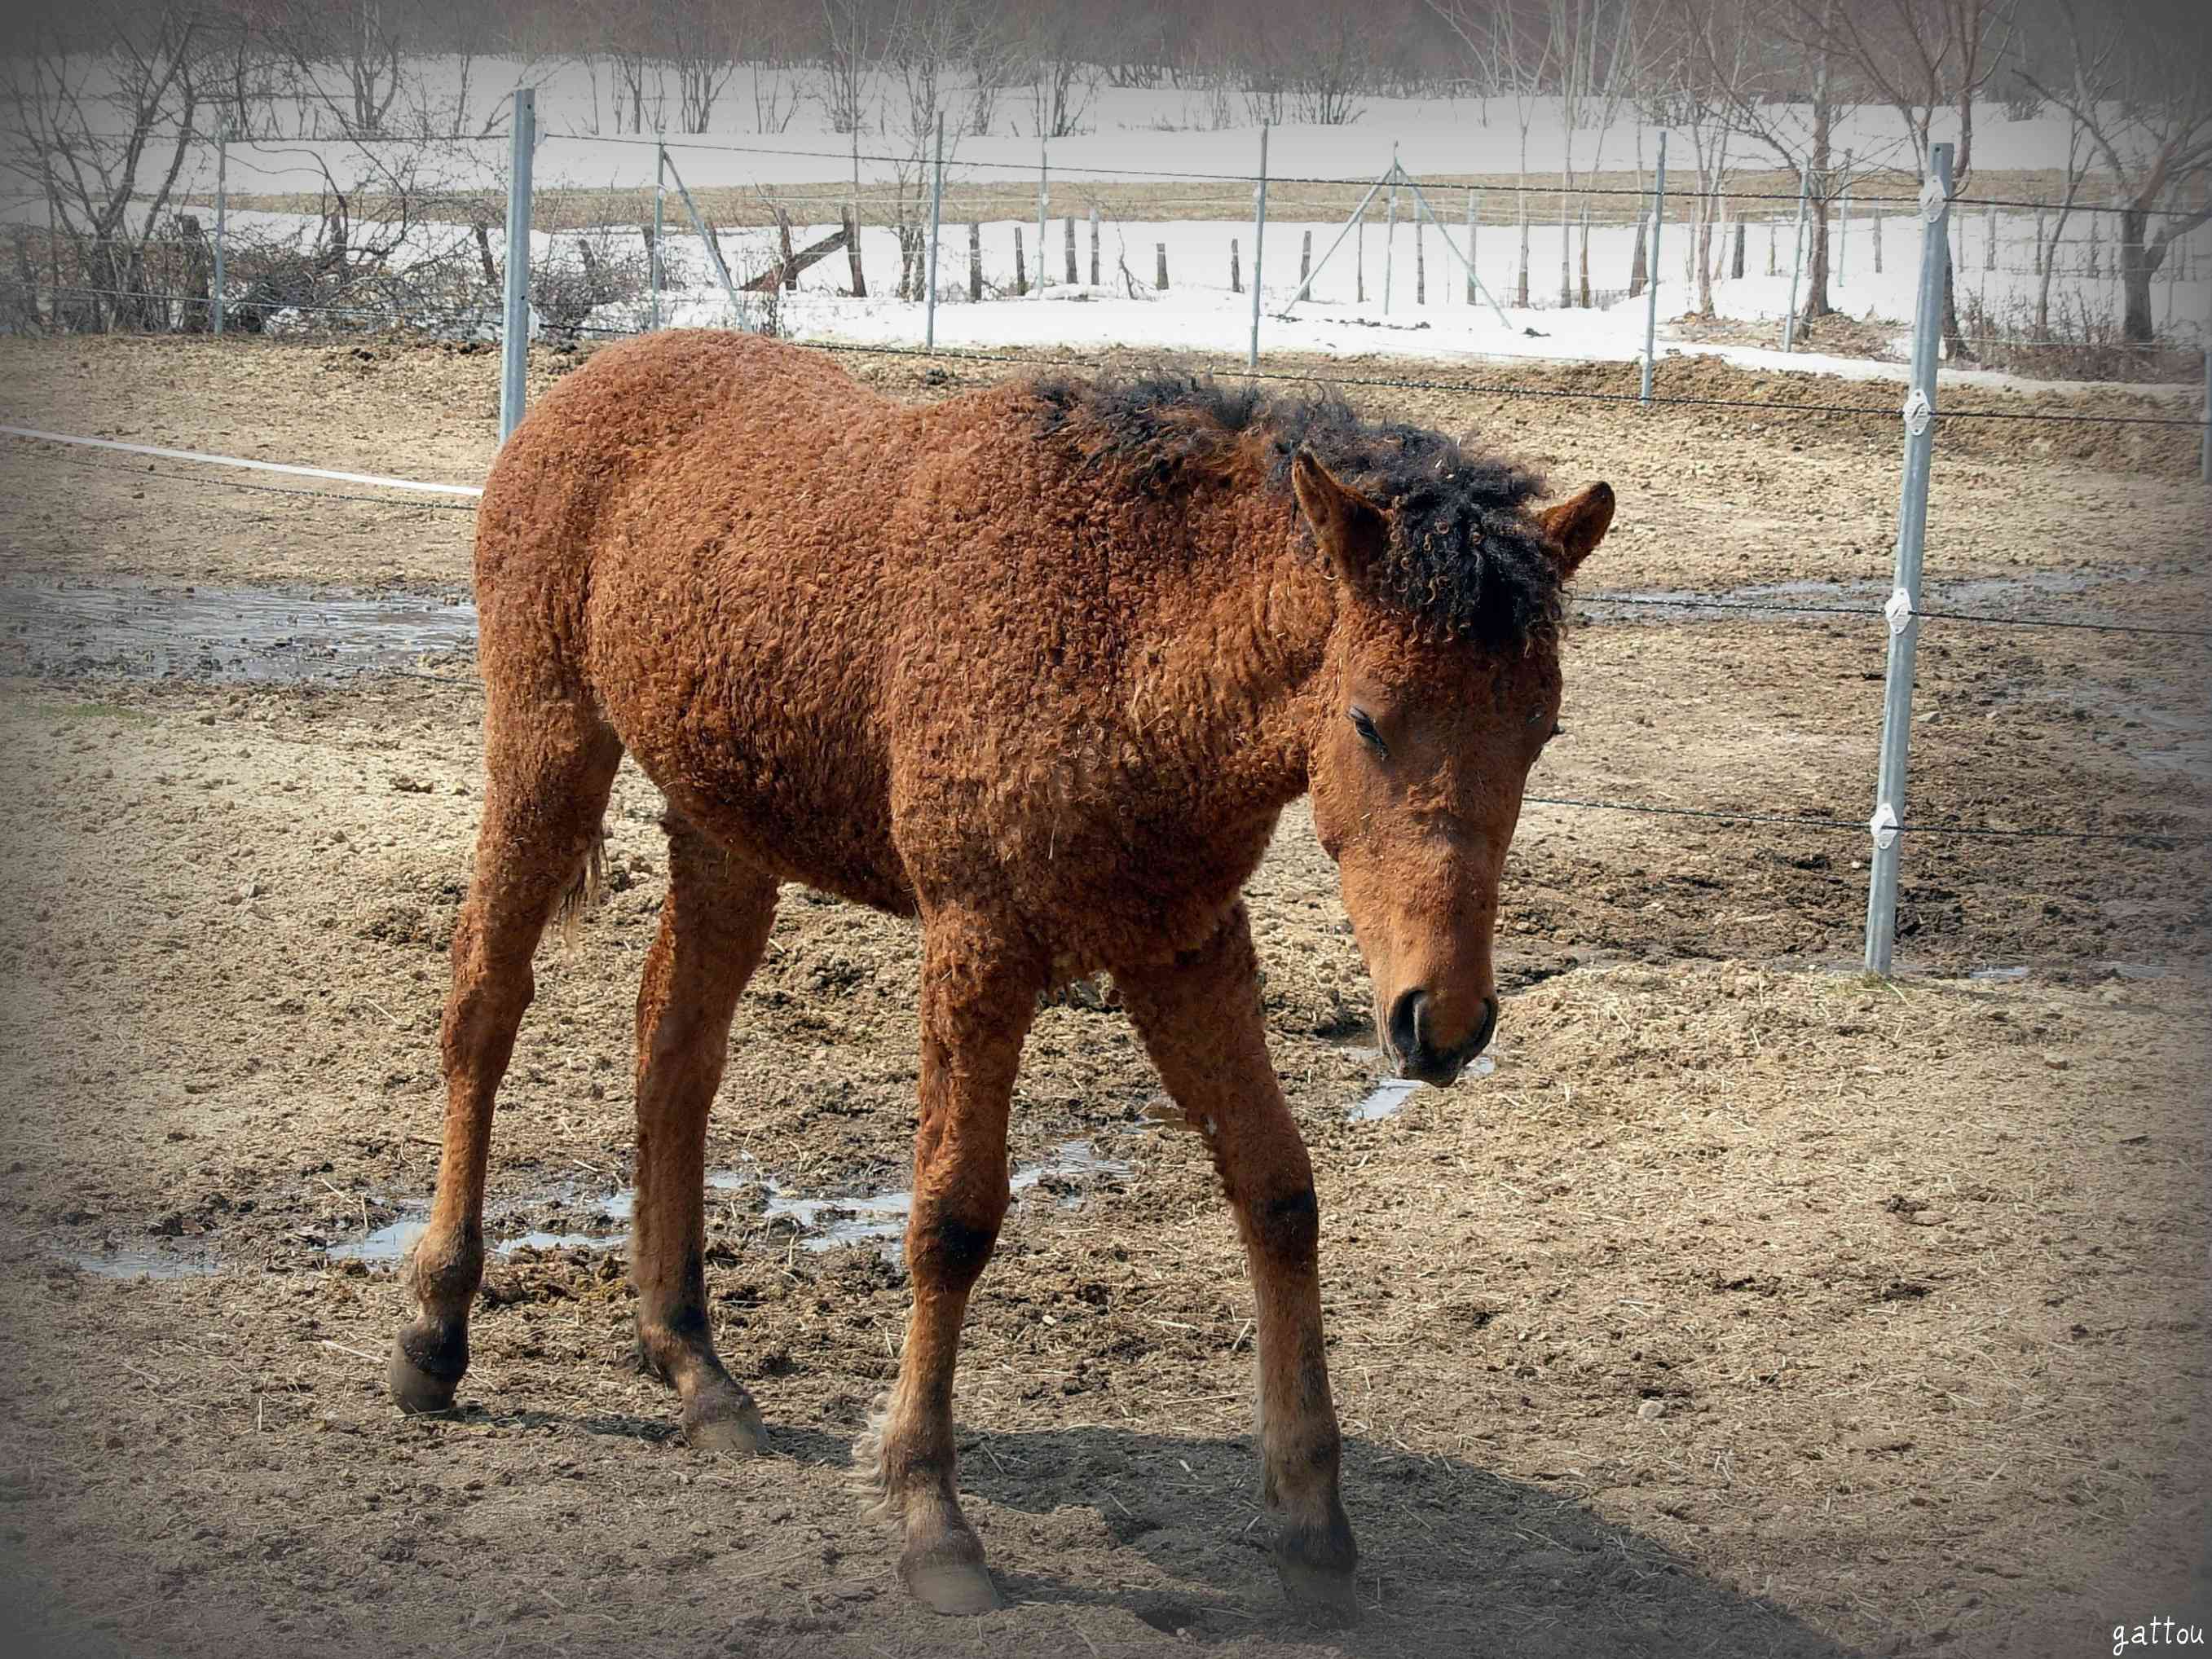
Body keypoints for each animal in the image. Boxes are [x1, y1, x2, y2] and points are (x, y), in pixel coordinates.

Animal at [394, 332, 1610, 1627]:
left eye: (1540, 729)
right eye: (1369, 720)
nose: (1444, 1022)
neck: (1120, 625)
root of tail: (587, 383)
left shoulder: (1183, 945)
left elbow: (1279, 1192)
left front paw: (1312, 1527)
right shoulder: (978, 942)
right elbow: (952, 1218)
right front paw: (931, 1519)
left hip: (724, 829)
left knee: (673, 1047)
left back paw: (694, 1367)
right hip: (547, 747)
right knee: (483, 1007)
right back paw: (434, 1332)